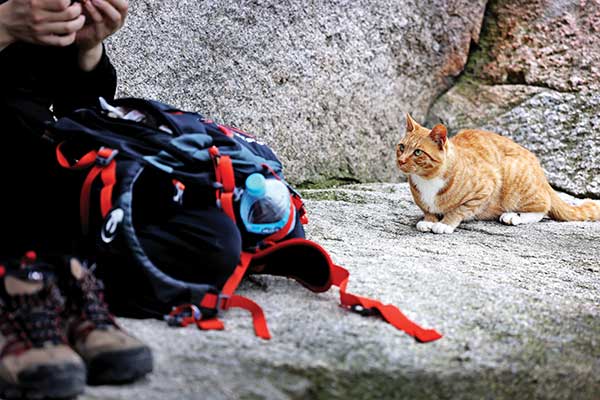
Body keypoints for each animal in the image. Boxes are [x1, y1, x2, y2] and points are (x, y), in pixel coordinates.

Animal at [396, 114, 596, 234]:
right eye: (402, 147)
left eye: (418, 152)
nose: (401, 160)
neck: (427, 180)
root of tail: (540, 170)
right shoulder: (423, 202)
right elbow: (428, 209)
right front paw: (429, 219)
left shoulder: (485, 188)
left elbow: (459, 209)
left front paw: (445, 223)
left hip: (514, 183)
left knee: (543, 206)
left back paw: (514, 216)